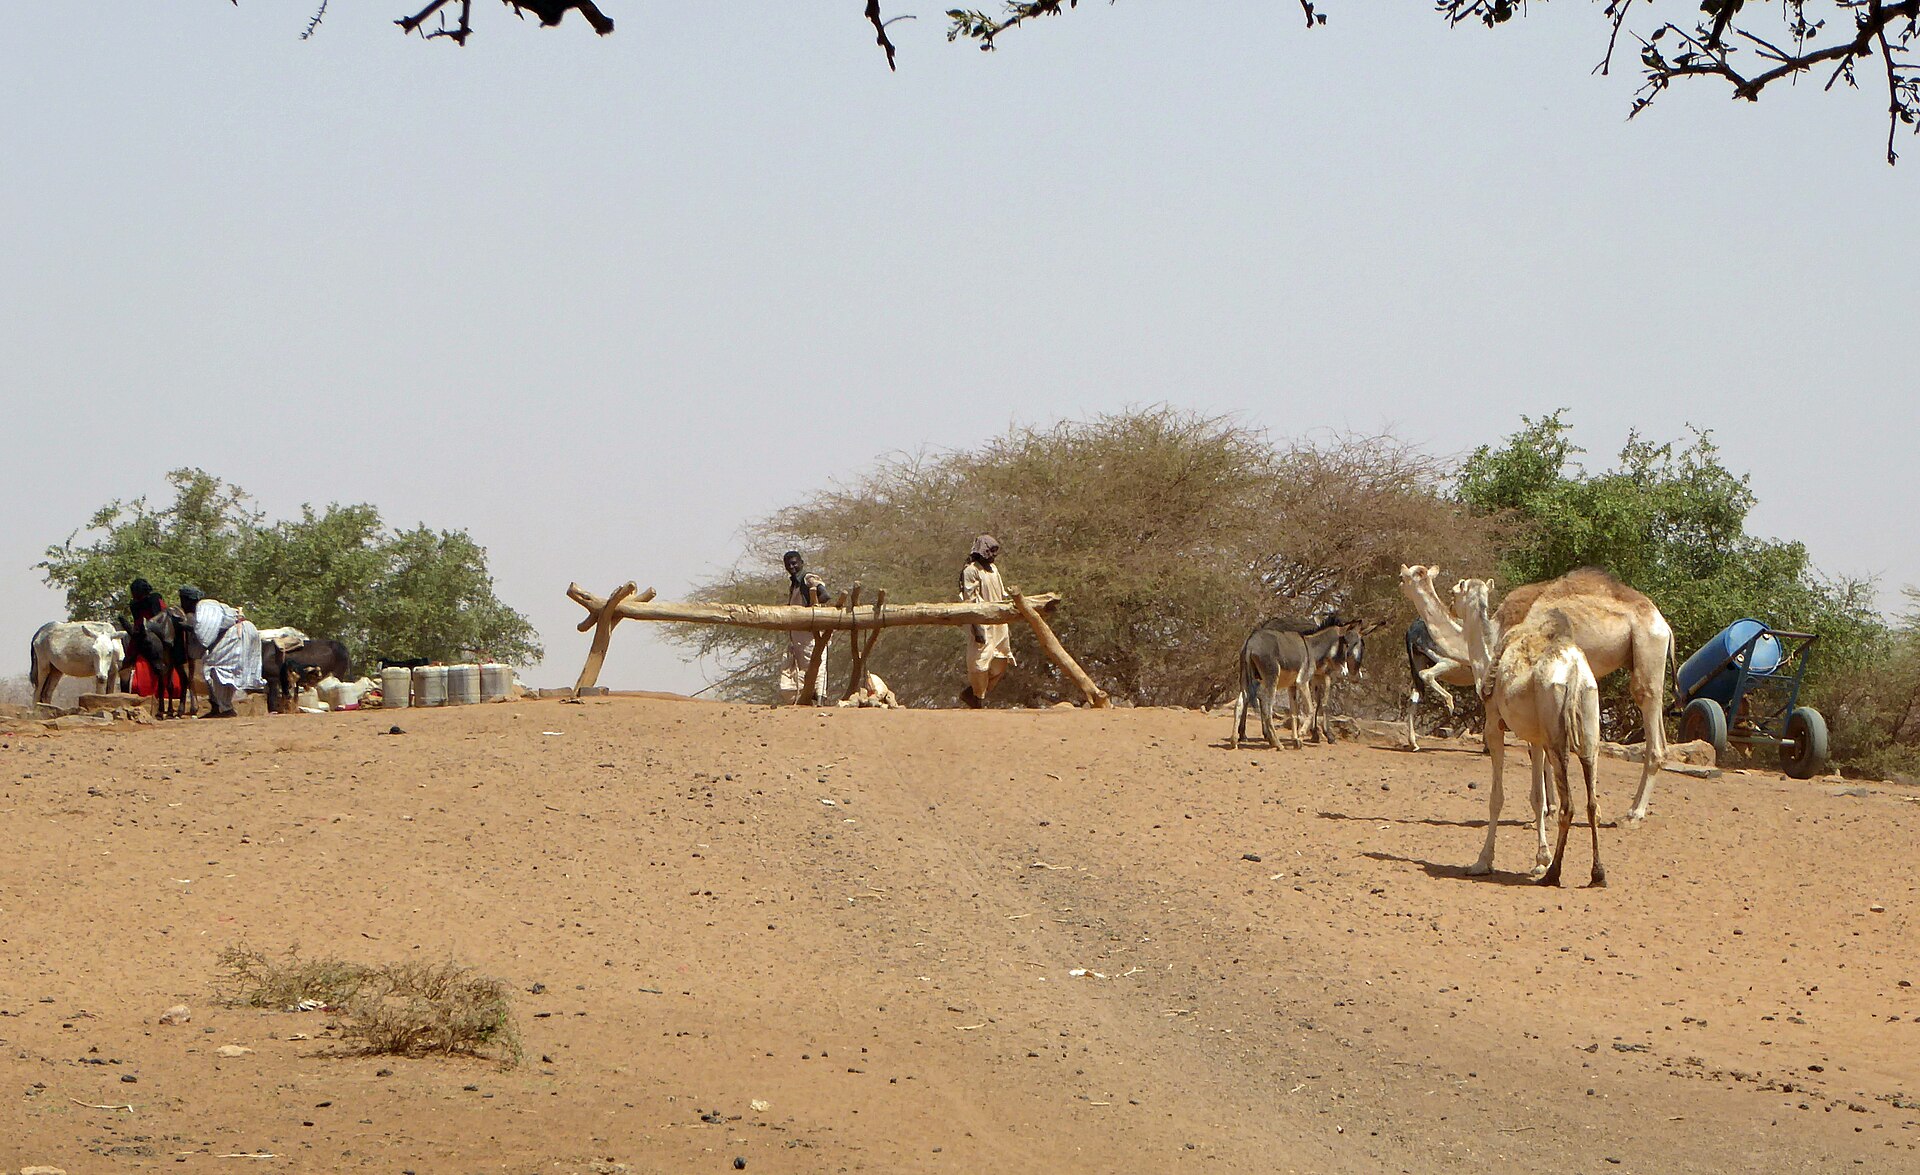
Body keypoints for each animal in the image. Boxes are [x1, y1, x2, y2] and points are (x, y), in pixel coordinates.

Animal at [1452, 566, 1674, 827]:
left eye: (1454, 591)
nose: (1451, 606)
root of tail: (1664, 626)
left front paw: (1545, 811)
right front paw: (1549, 809)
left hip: (1648, 649)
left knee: (1648, 714)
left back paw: (1634, 813)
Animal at [1461, 591, 1606, 886]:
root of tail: (1574, 672)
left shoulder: (1493, 724)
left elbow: (1497, 797)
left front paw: (1483, 861)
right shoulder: (1536, 739)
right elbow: (1537, 798)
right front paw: (1540, 859)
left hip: (1557, 735)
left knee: (1568, 806)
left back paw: (1554, 874)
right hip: (1588, 727)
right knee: (1592, 803)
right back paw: (1597, 874)